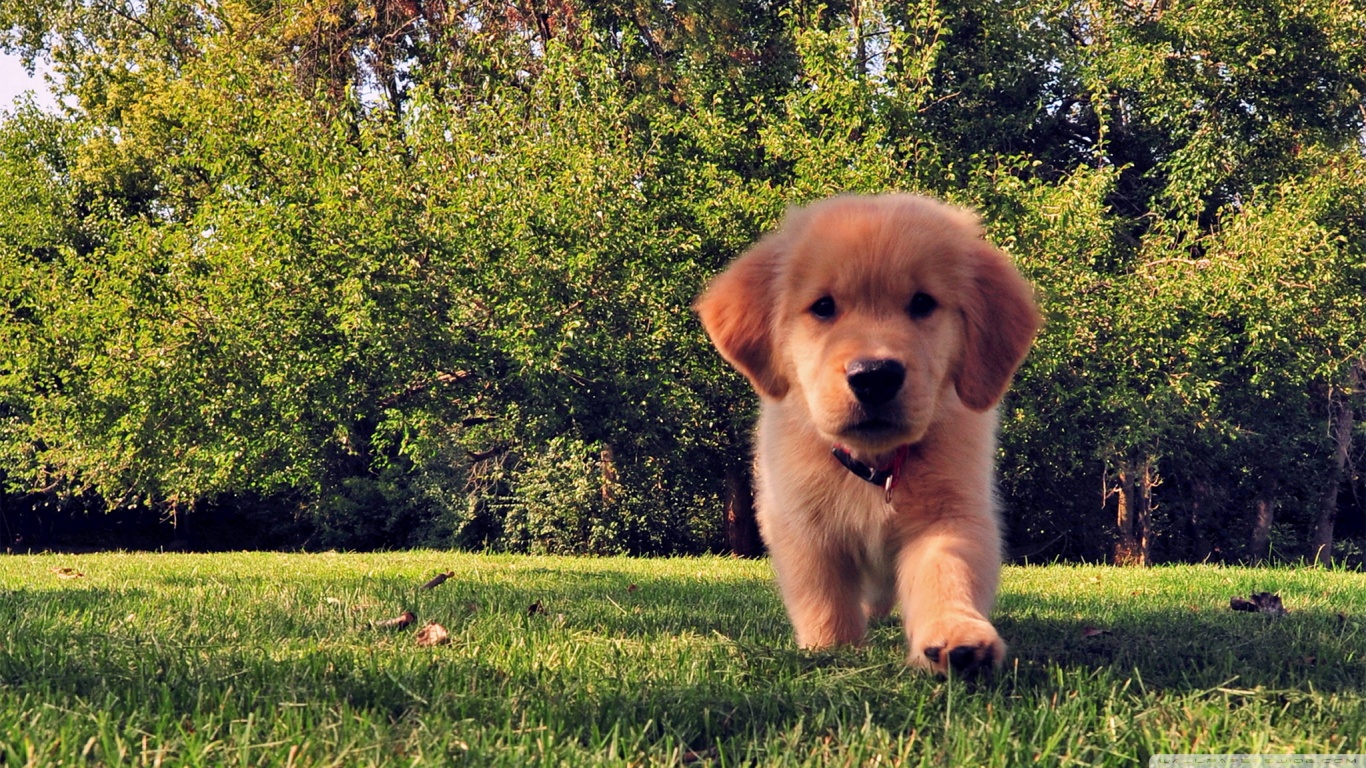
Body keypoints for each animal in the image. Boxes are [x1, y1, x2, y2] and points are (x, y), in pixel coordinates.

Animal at [699, 191, 1038, 669]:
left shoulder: (951, 511)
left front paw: (957, 634)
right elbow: (822, 592)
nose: (875, 376)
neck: (876, 464)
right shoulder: (800, 518)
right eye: (823, 306)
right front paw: (831, 647)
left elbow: (947, 570)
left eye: (922, 303)